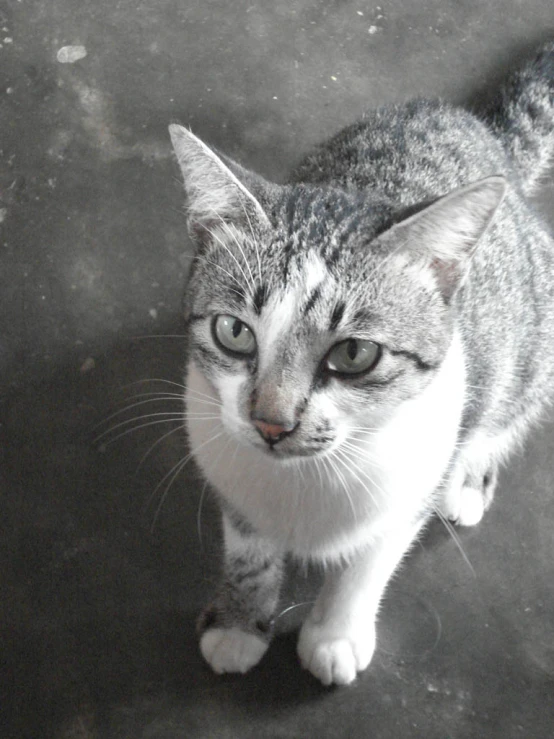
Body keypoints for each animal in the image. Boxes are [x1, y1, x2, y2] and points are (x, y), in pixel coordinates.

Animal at [167, 43, 552, 684]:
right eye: (234, 332)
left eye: (353, 353)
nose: (271, 423)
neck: (303, 480)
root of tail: (477, 126)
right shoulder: (224, 460)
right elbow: (249, 549)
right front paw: (239, 622)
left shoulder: (409, 487)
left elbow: (368, 563)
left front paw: (334, 635)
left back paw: (471, 476)